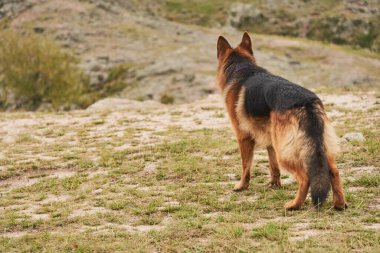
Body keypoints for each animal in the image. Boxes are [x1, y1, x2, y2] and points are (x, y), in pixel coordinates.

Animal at [217, 32, 348, 210]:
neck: (242, 68)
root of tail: (307, 102)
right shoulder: (271, 141)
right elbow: (273, 166)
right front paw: (275, 184)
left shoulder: (243, 138)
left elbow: (246, 166)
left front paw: (242, 186)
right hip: (318, 148)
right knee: (334, 171)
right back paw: (339, 204)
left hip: (286, 154)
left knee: (305, 177)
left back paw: (294, 205)